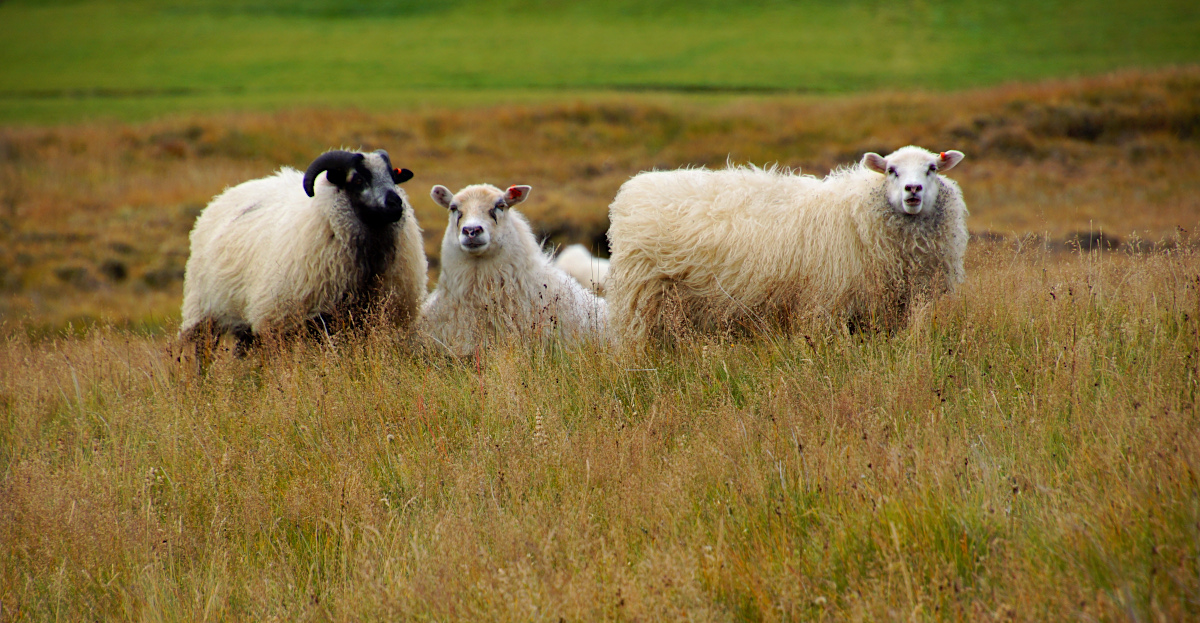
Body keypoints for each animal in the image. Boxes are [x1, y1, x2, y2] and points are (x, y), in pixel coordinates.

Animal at [175, 147, 424, 355]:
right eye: (359, 179)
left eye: (393, 176)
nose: (396, 203)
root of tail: (225, 194)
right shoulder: (286, 321)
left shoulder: (367, 322)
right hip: (203, 313)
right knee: (202, 354)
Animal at [604, 145, 969, 343]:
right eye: (892, 170)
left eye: (932, 168)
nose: (912, 190)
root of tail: (632, 189)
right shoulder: (825, 304)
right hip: (642, 304)